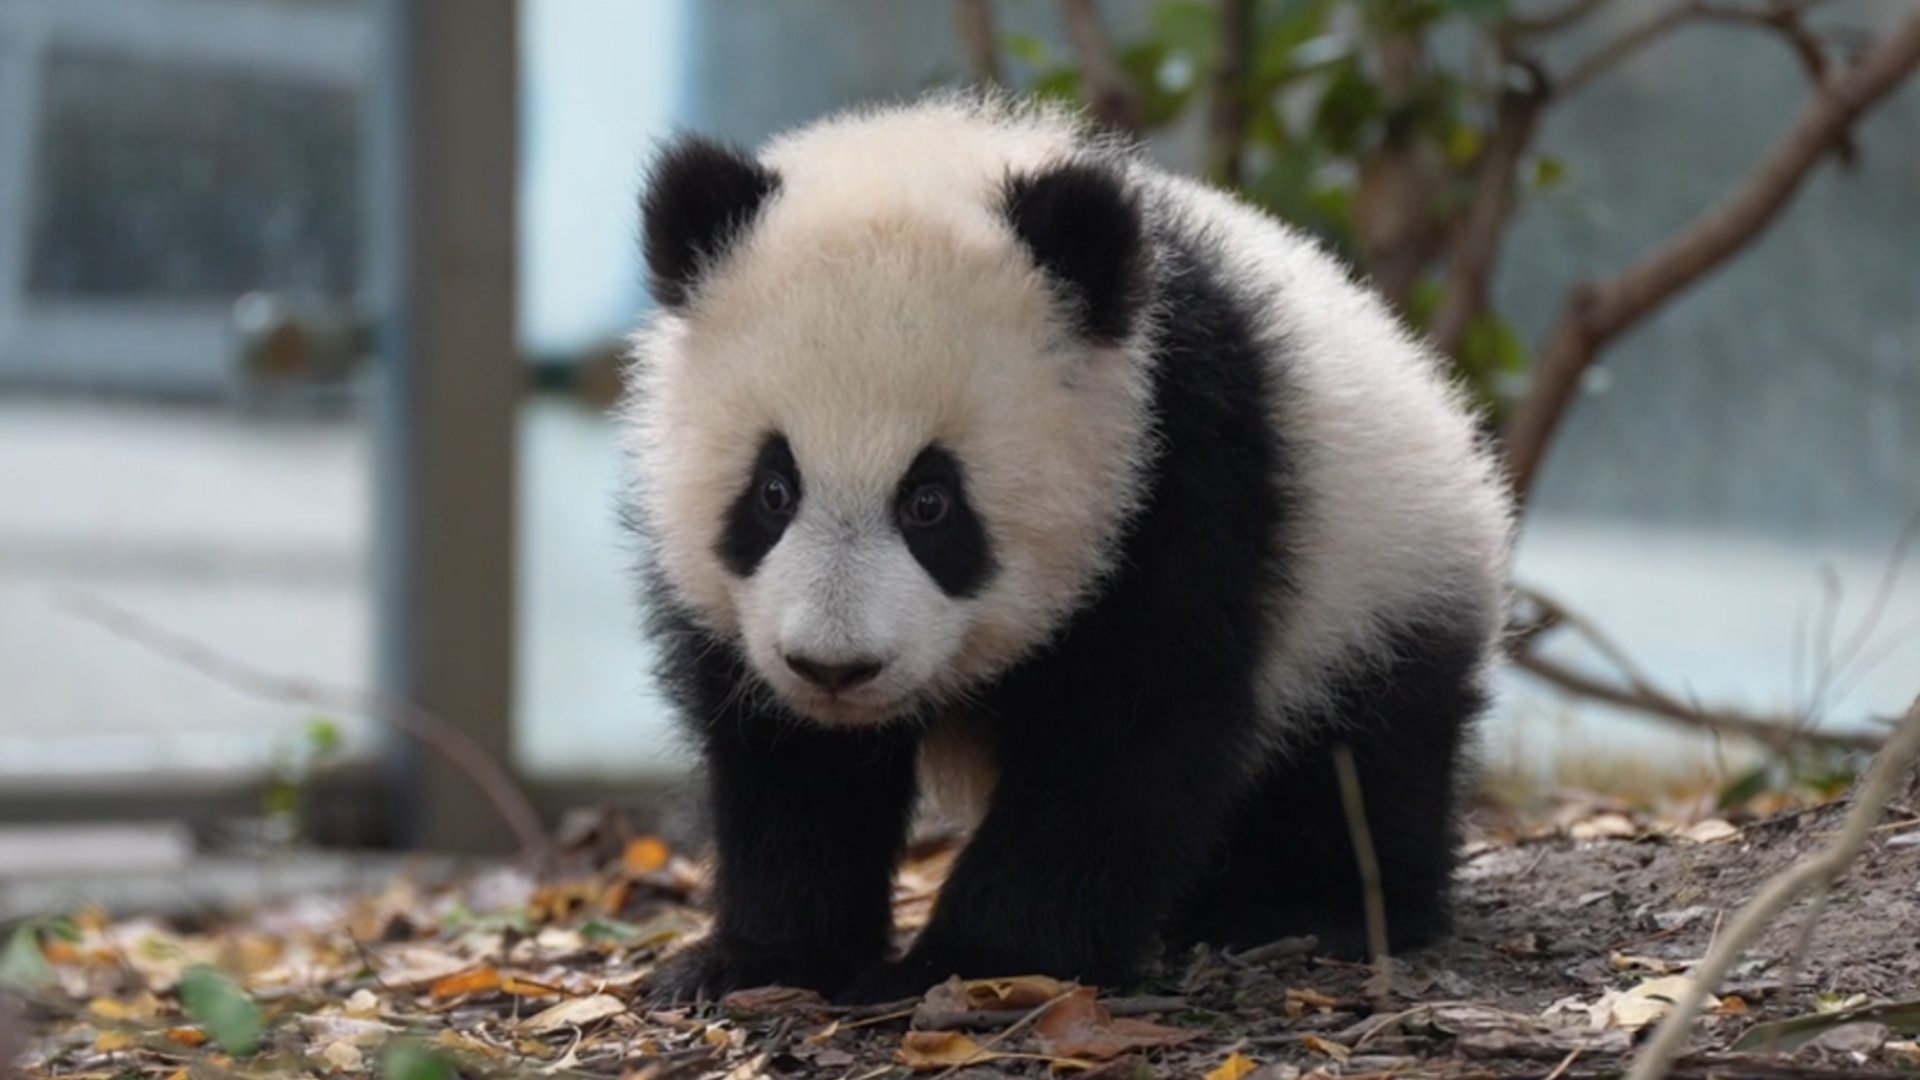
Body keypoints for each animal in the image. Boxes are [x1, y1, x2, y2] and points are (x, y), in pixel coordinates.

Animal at [624, 95, 1512, 1004]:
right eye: (774, 490)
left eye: (931, 503)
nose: (834, 667)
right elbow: (791, 763)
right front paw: (759, 958)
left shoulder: (1179, 470)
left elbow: (1124, 738)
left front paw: (972, 959)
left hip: (1377, 579)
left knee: (1363, 758)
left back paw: (1306, 908)